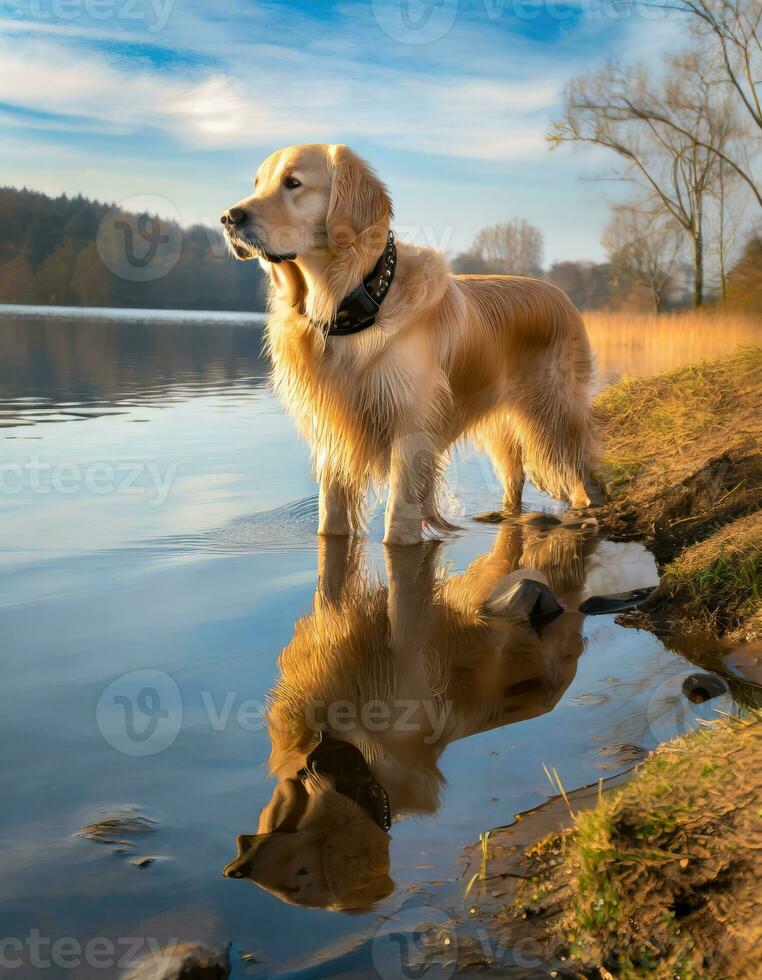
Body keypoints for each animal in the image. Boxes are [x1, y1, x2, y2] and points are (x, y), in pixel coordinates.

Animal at [220, 145, 592, 548]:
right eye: (257, 184)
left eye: (292, 182)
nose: (228, 218)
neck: (355, 304)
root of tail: (563, 296)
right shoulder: (333, 433)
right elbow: (330, 519)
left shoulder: (411, 429)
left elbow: (399, 520)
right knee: (515, 481)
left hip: (558, 419)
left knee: (587, 478)